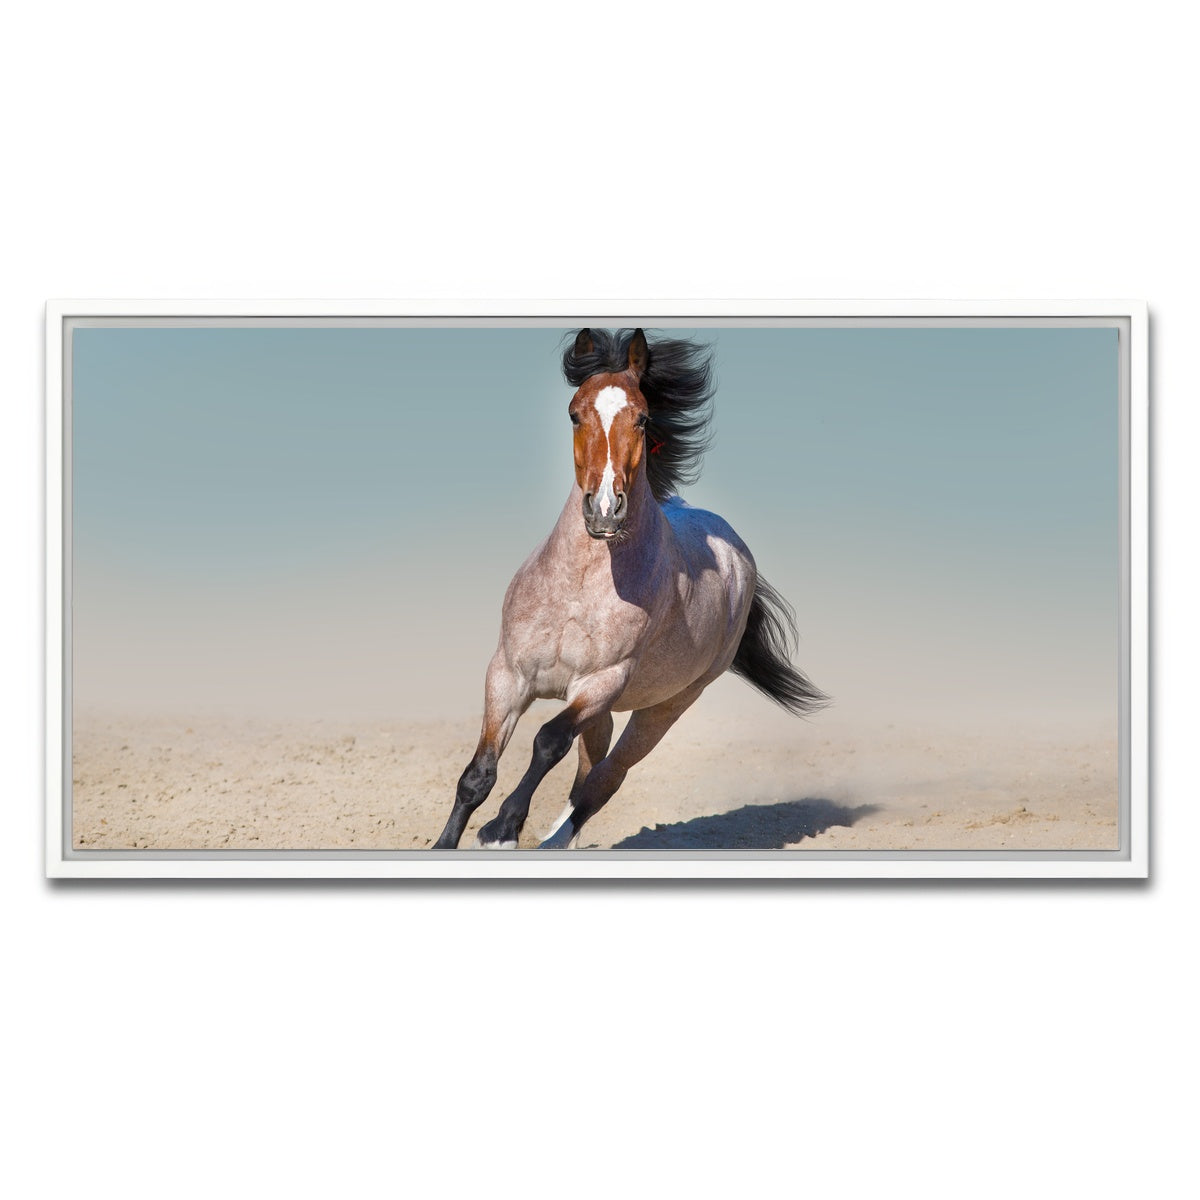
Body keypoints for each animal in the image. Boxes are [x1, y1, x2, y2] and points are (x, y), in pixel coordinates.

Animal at [432, 327, 827, 850]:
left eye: (641, 418)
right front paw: (447, 842)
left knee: (605, 778)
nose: (604, 509)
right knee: (588, 772)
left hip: (665, 707)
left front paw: (501, 830)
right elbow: (478, 774)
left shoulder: (601, 682)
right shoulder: (507, 675)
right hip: (603, 711)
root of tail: (738, 556)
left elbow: (547, 743)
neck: (578, 589)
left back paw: (552, 840)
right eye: (575, 413)